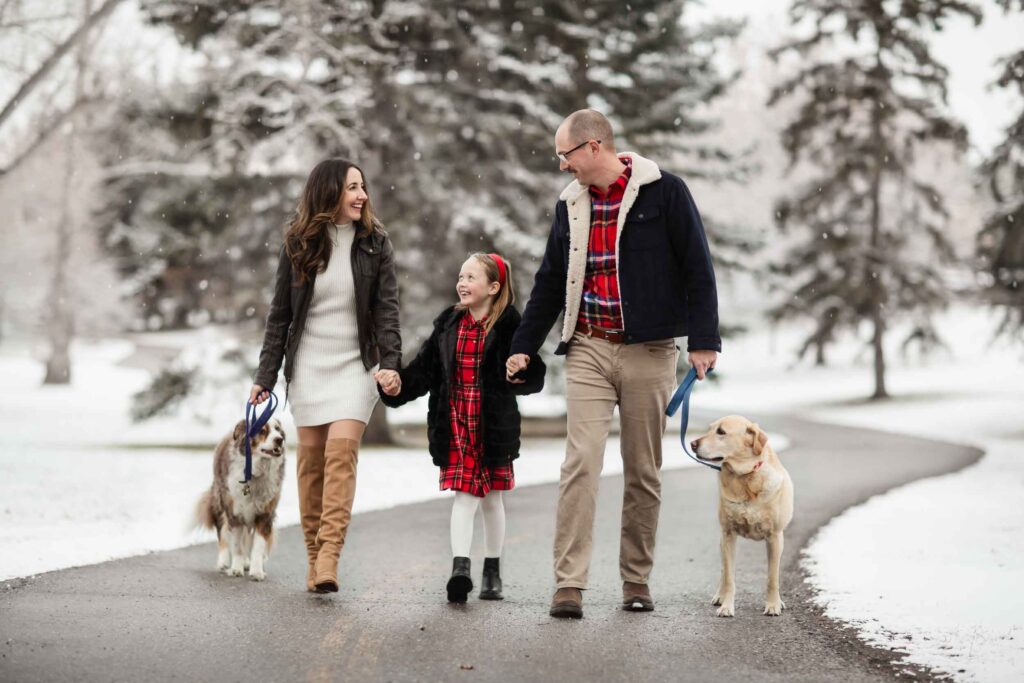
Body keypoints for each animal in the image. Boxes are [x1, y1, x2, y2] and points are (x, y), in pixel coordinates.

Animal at [195, 419, 286, 581]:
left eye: (278, 430)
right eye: (262, 430)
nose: (279, 439)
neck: (254, 473)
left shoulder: (265, 514)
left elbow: (258, 546)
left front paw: (257, 571)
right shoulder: (234, 513)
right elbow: (237, 545)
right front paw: (236, 569)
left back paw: (247, 562)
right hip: (219, 503)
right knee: (222, 532)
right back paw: (224, 562)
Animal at [692, 417, 794, 618]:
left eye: (721, 432)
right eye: (709, 429)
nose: (692, 444)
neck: (745, 478)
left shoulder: (775, 537)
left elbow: (772, 578)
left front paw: (773, 605)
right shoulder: (728, 535)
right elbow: (729, 577)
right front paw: (726, 606)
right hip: (722, 541)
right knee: (724, 571)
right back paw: (720, 595)